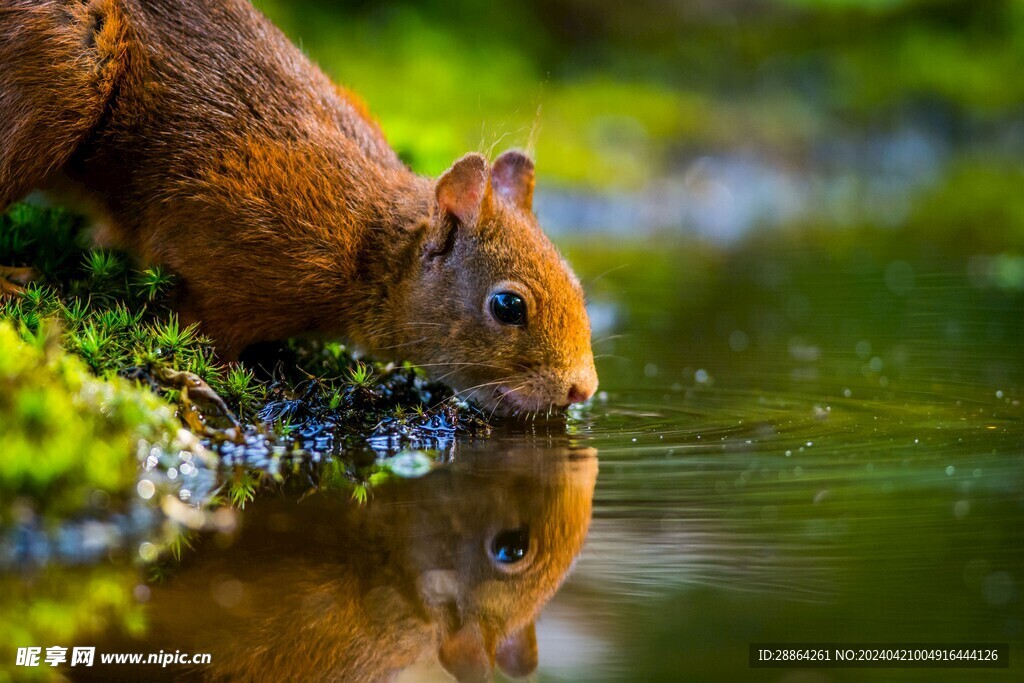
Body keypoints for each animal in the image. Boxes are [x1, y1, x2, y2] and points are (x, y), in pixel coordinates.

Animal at [0, 0, 598, 417]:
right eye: (508, 306)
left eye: (577, 285)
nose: (583, 388)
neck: (370, 247)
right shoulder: (229, 249)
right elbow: (199, 327)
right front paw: (201, 381)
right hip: (63, 72)